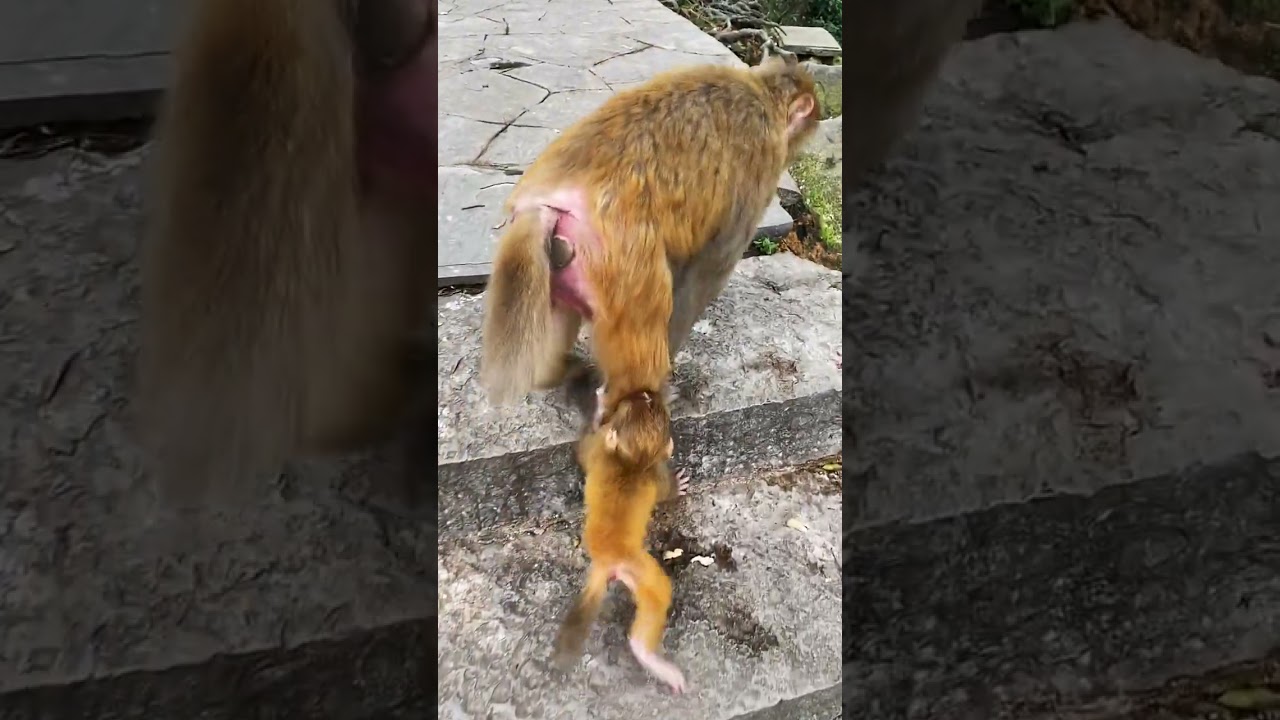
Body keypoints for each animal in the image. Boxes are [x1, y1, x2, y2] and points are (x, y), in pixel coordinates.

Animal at [480, 54, 820, 465]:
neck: (760, 93)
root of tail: (542, 206)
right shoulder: (756, 175)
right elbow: (706, 274)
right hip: (621, 264)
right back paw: (627, 401)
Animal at [552, 392, 691, 694]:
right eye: (646, 403)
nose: (644, 394)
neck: (632, 461)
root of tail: (607, 560)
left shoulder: (601, 455)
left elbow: (583, 452)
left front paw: (599, 412)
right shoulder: (653, 474)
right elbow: (666, 490)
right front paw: (678, 485)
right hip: (639, 567)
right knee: (658, 593)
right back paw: (649, 655)